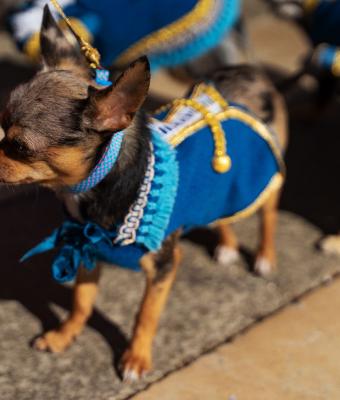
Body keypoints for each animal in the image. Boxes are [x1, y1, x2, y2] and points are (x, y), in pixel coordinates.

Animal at [0, 7, 286, 382]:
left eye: (20, 147)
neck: (99, 185)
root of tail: (250, 71)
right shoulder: (88, 247)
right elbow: (81, 302)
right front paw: (64, 336)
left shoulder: (163, 266)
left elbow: (145, 315)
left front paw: (135, 358)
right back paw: (226, 246)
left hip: (264, 179)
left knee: (268, 215)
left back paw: (265, 256)